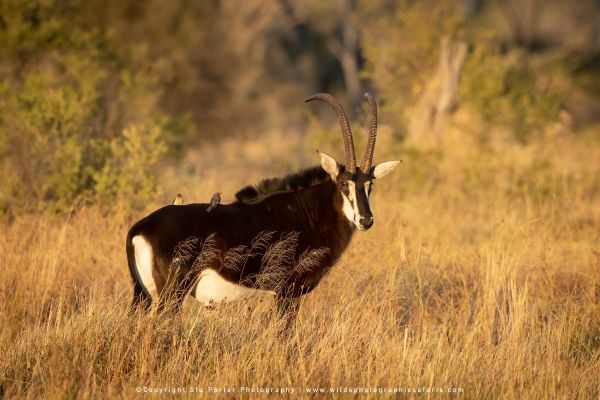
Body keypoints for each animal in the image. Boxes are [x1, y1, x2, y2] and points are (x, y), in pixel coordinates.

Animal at [126, 93, 398, 322]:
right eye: (343, 183)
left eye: (370, 184)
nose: (365, 220)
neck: (307, 212)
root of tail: (141, 228)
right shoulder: (288, 291)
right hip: (171, 294)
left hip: (142, 295)